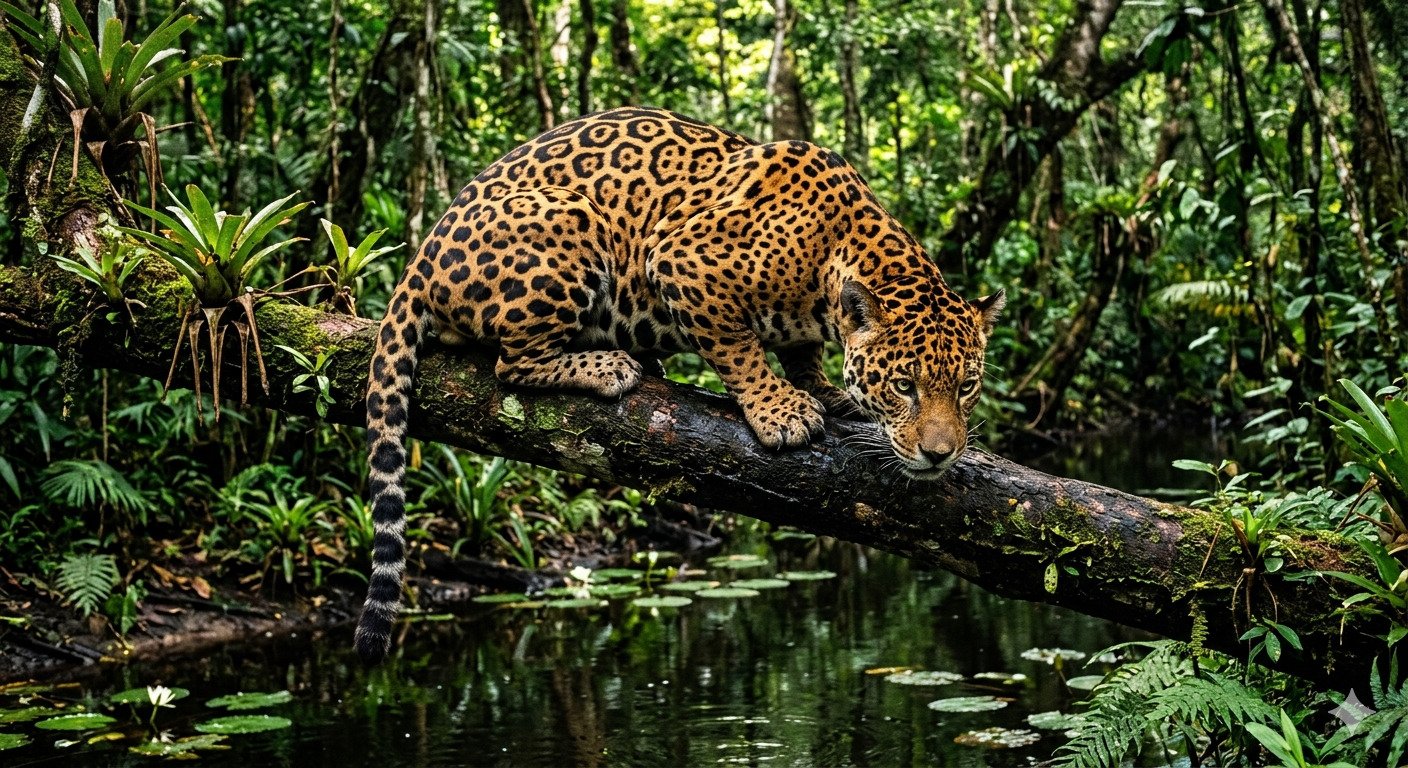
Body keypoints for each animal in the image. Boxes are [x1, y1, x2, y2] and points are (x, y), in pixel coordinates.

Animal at [354, 106, 1004, 663]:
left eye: (966, 387)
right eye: (905, 387)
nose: (941, 454)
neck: (832, 257)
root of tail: (419, 258)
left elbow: (801, 352)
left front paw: (824, 389)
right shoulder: (684, 261)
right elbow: (739, 348)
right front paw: (779, 411)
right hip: (571, 219)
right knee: (510, 363)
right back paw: (610, 366)